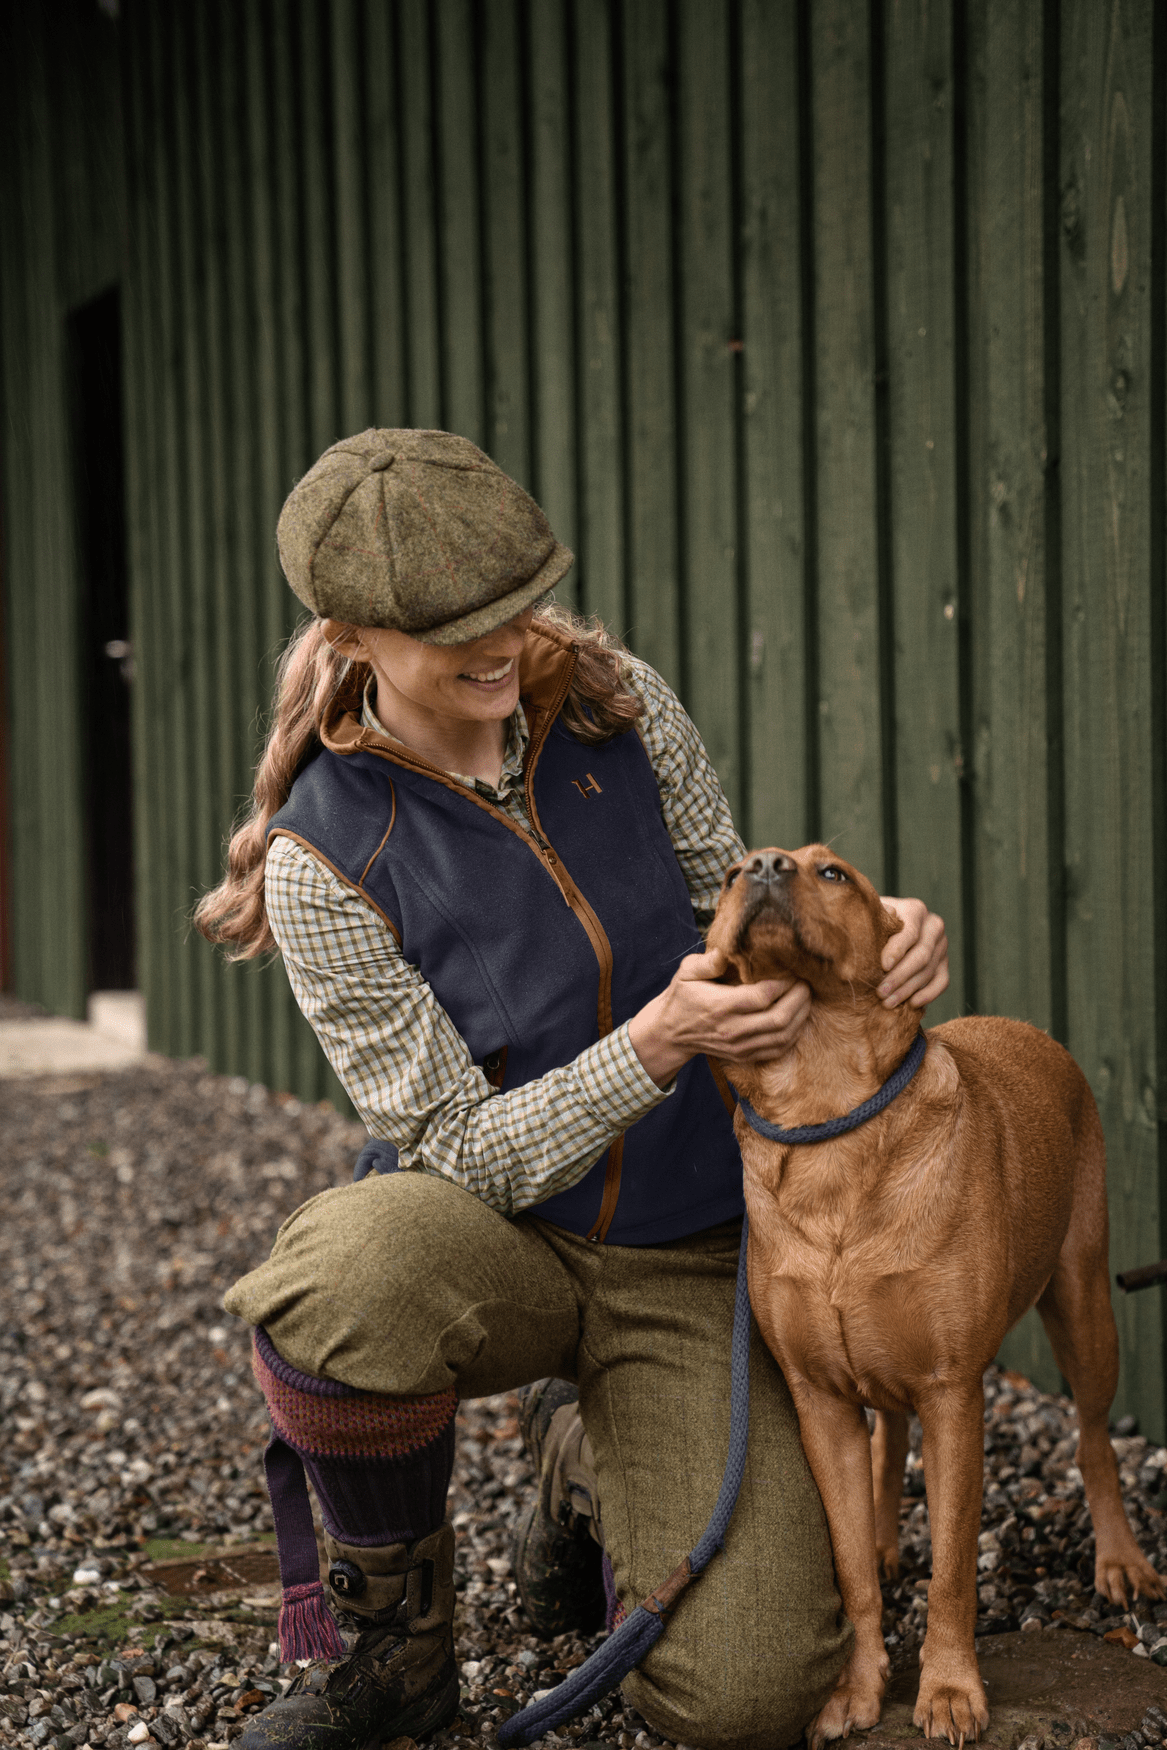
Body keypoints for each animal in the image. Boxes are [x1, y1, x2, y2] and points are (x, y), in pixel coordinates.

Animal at [703, 843, 1161, 1736]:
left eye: (833, 873)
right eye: (734, 875)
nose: (763, 863)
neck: (826, 1118)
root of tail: (1022, 1026)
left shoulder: (955, 1392)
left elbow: (951, 1564)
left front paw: (948, 1688)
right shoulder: (818, 1400)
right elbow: (847, 1564)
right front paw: (855, 1686)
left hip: (1083, 1304)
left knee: (1092, 1440)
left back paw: (1119, 1559)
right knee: (887, 1438)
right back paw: (887, 1537)